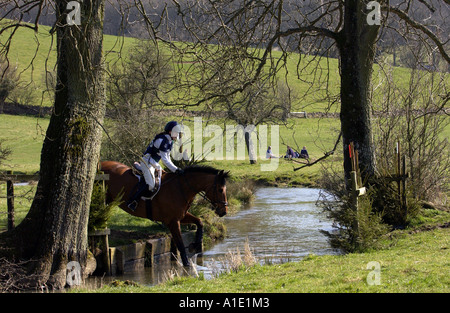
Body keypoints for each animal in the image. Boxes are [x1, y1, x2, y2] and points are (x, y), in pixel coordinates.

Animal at [100, 161, 230, 266]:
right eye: (220, 190)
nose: (224, 212)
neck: (181, 187)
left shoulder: (181, 216)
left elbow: (200, 222)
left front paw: (195, 245)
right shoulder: (173, 221)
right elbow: (180, 244)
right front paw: (187, 264)